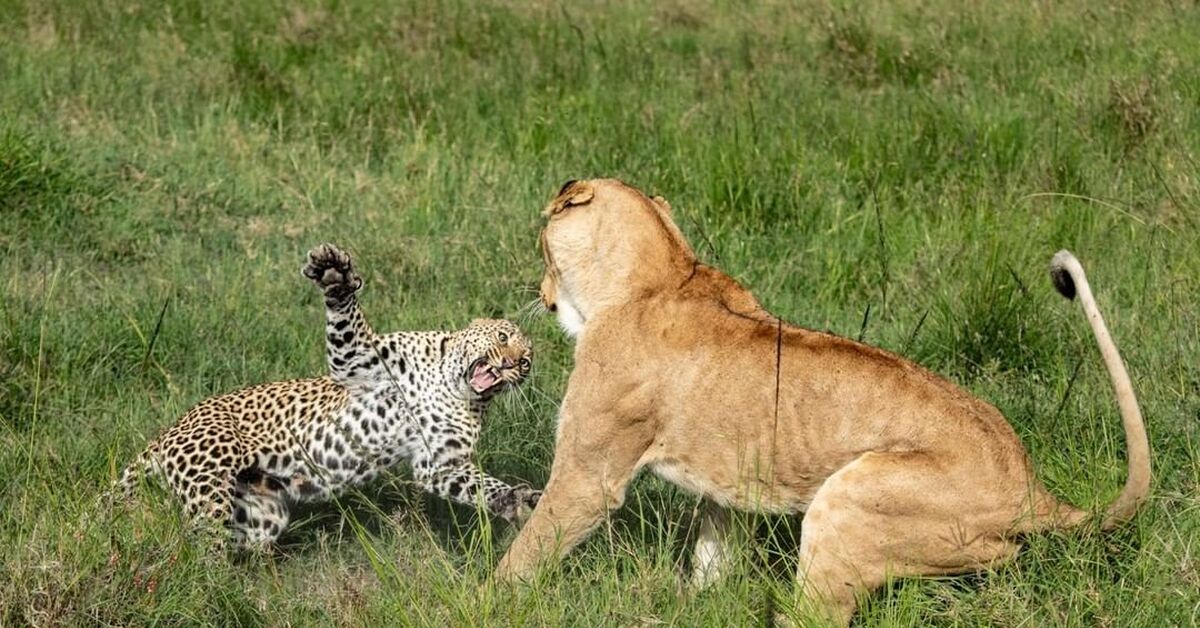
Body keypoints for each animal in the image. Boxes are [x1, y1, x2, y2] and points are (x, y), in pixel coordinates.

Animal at [117, 243, 540, 547]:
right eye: (503, 337)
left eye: (526, 364)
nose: (511, 364)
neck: (449, 387)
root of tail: (169, 430)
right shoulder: (360, 359)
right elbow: (348, 319)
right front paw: (335, 275)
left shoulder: (439, 463)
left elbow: (479, 484)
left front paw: (515, 500)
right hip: (209, 481)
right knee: (197, 541)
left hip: (260, 512)